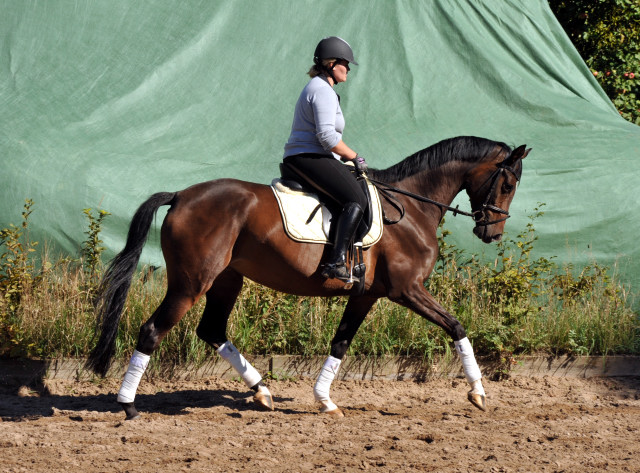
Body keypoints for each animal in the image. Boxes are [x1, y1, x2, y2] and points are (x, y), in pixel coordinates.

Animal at [89, 135, 528, 418]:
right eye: (507, 183)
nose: (492, 233)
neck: (410, 208)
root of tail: (180, 196)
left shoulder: (367, 295)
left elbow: (341, 342)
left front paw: (325, 400)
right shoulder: (407, 289)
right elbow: (456, 326)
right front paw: (478, 393)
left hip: (226, 279)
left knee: (212, 329)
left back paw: (262, 392)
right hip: (191, 283)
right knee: (152, 330)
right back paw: (128, 405)